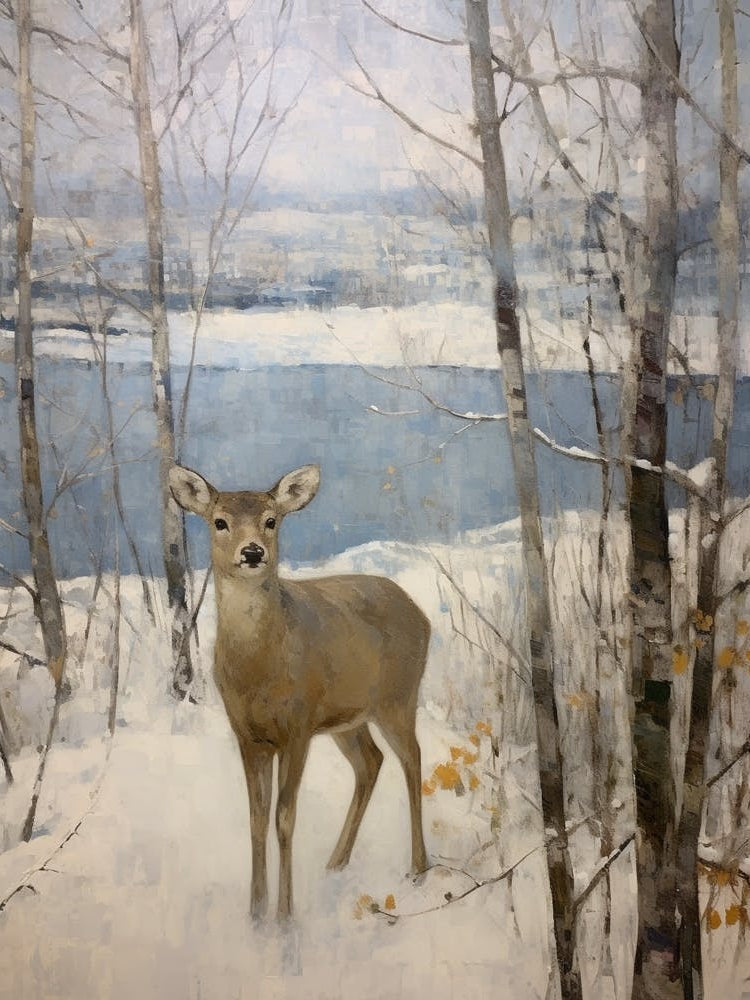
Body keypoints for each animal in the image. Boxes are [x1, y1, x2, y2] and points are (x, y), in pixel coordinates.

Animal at [169, 463, 430, 922]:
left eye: (272, 520)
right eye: (220, 522)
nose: (253, 552)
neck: (258, 671)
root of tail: (423, 616)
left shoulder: (298, 725)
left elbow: (284, 818)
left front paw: (285, 917)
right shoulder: (248, 735)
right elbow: (256, 819)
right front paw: (255, 914)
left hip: (397, 697)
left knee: (411, 759)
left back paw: (417, 868)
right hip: (348, 717)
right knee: (371, 762)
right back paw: (336, 862)